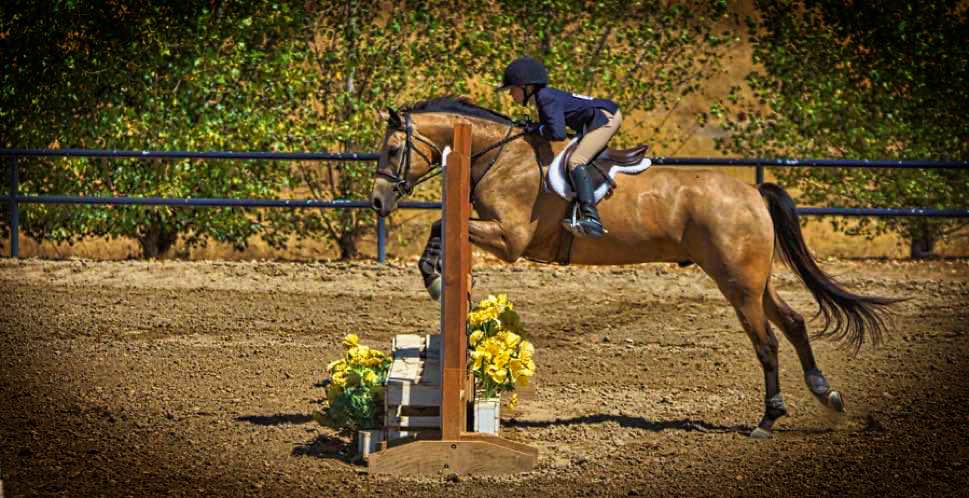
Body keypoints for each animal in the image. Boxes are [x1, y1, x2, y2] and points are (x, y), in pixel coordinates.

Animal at [368, 96, 900, 438]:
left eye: (392, 150)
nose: (377, 201)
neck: (499, 154)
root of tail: (751, 192)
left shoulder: (510, 236)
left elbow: (441, 223)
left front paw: (436, 279)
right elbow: (441, 226)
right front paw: (438, 278)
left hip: (737, 283)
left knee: (766, 341)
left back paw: (768, 420)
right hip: (755, 280)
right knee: (792, 322)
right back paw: (827, 396)